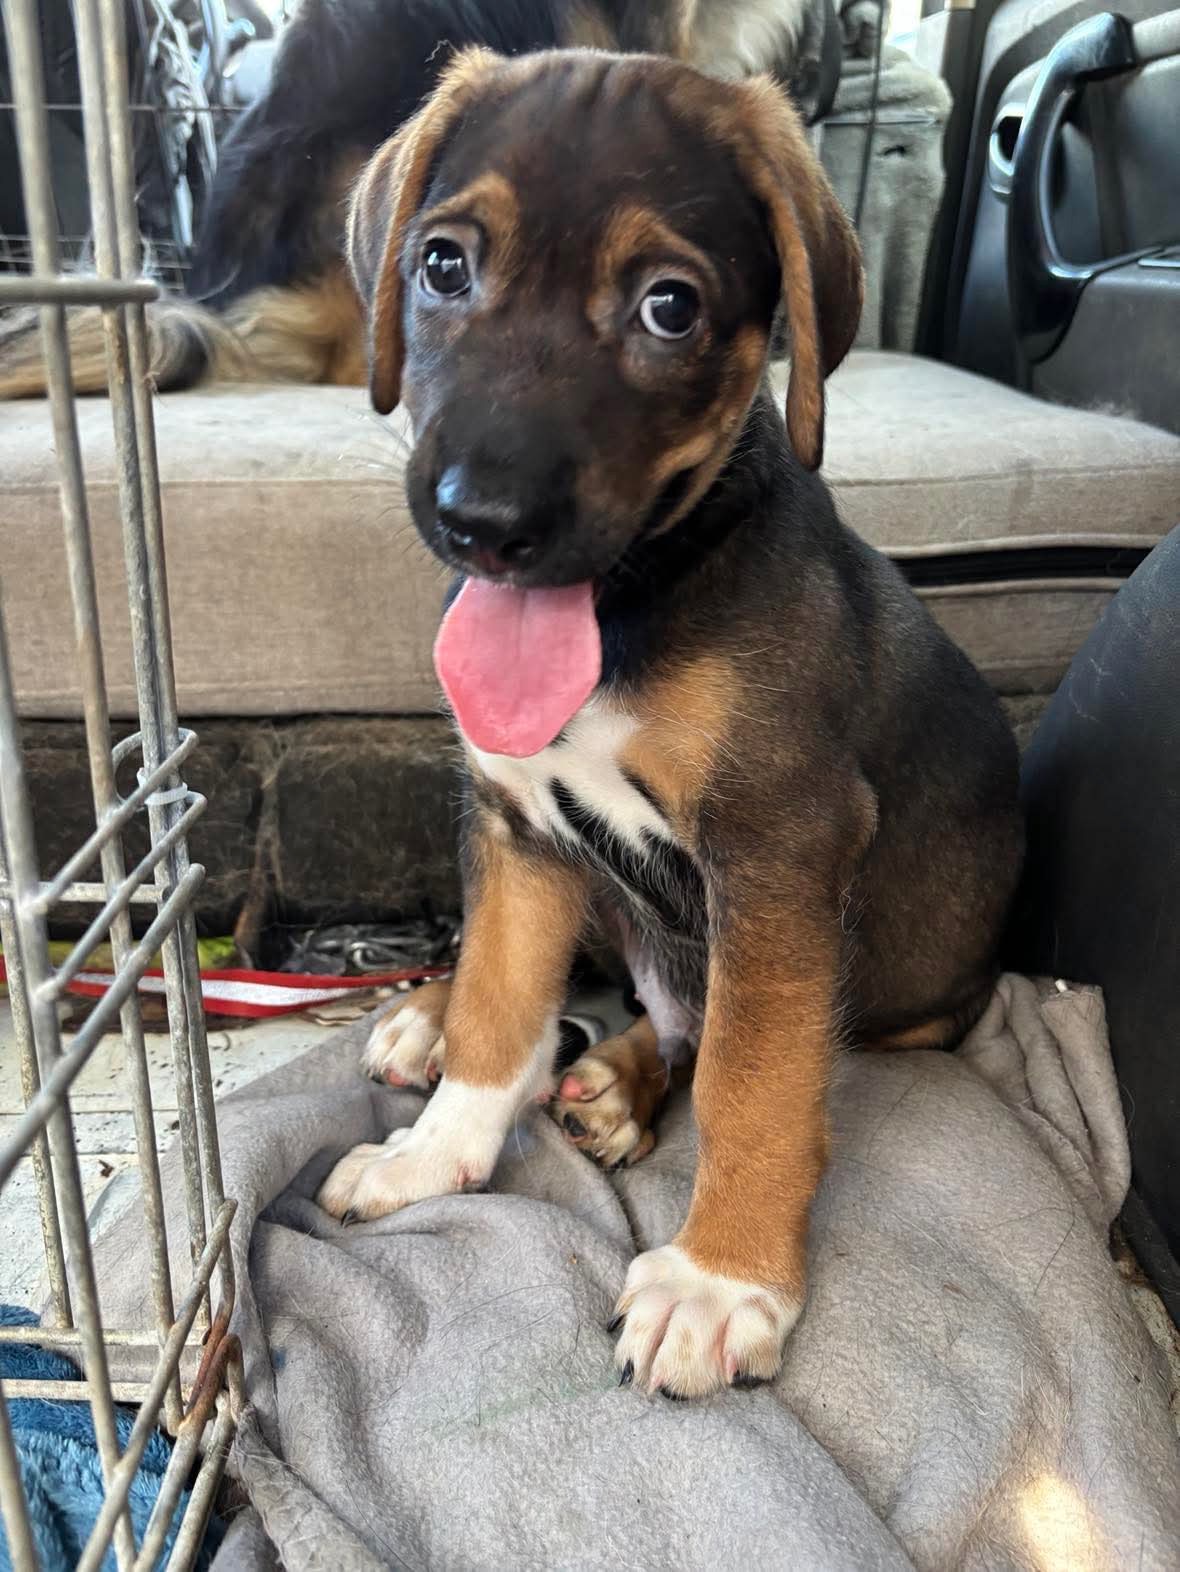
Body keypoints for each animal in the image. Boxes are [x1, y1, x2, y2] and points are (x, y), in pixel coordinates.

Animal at [312, 46, 1024, 1399]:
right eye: (443, 266)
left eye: (668, 308)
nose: (482, 522)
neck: (628, 608)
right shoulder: (522, 826)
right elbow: (501, 1005)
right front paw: (437, 1147)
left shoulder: (777, 854)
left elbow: (756, 1078)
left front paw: (720, 1278)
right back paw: (452, 1027)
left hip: (910, 1001)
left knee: (699, 1025)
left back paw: (619, 1082)